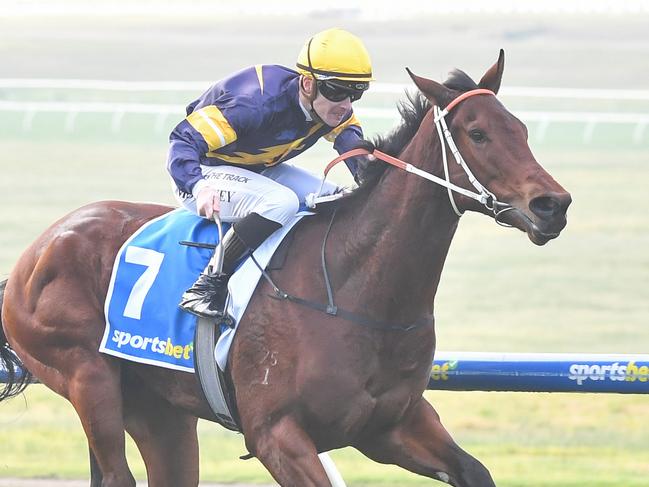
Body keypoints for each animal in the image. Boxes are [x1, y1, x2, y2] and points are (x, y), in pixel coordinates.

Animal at [0, 51, 568, 486]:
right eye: (477, 133)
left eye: (520, 128)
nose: (553, 205)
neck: (356, 289)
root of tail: (36, 251)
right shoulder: (277, 434)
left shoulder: (391, 425)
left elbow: (474, 471)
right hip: (87, 377)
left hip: (159, 408)